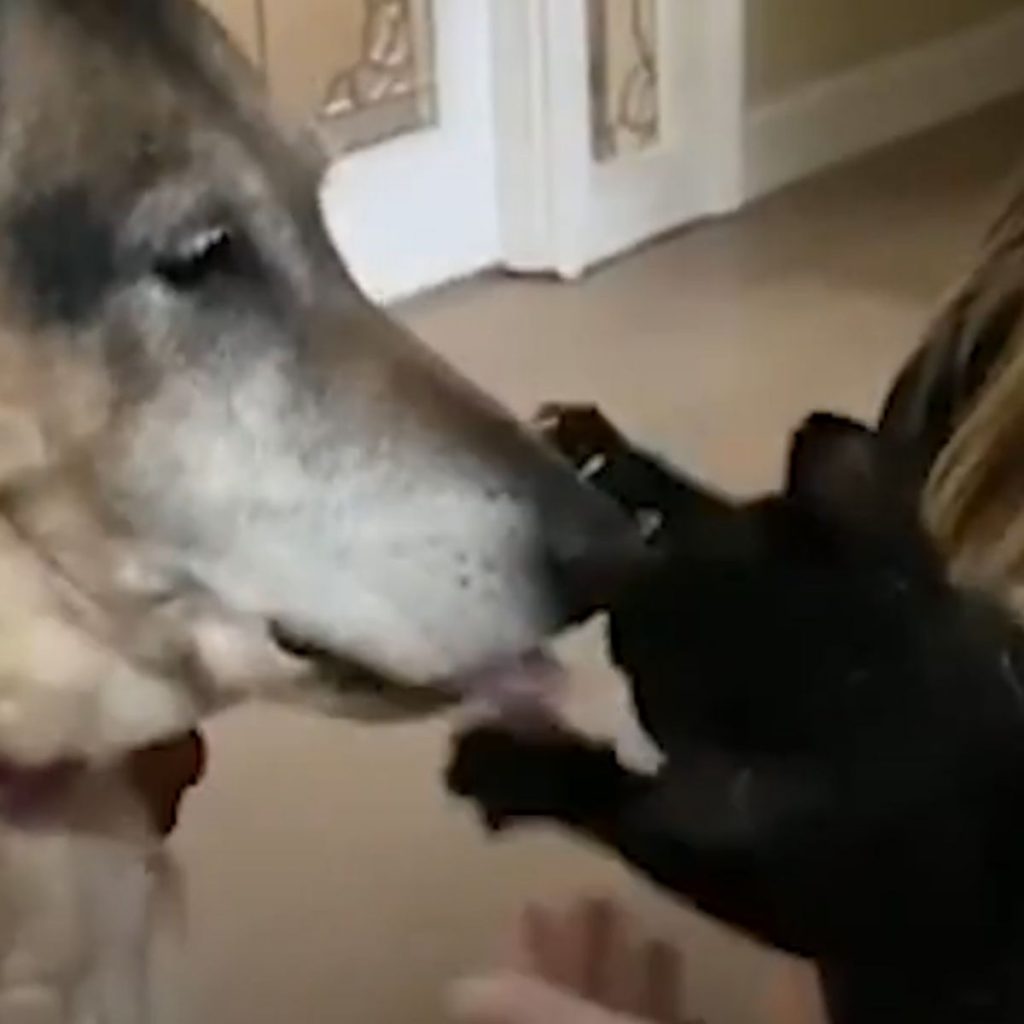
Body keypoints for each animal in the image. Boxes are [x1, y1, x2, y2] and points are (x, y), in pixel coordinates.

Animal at [448, 407, 1024, 1024]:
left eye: (642, 675)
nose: (610, 608)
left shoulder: (804, 894)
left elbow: (621, 806)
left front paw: (510, 765)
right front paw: (605, 451)